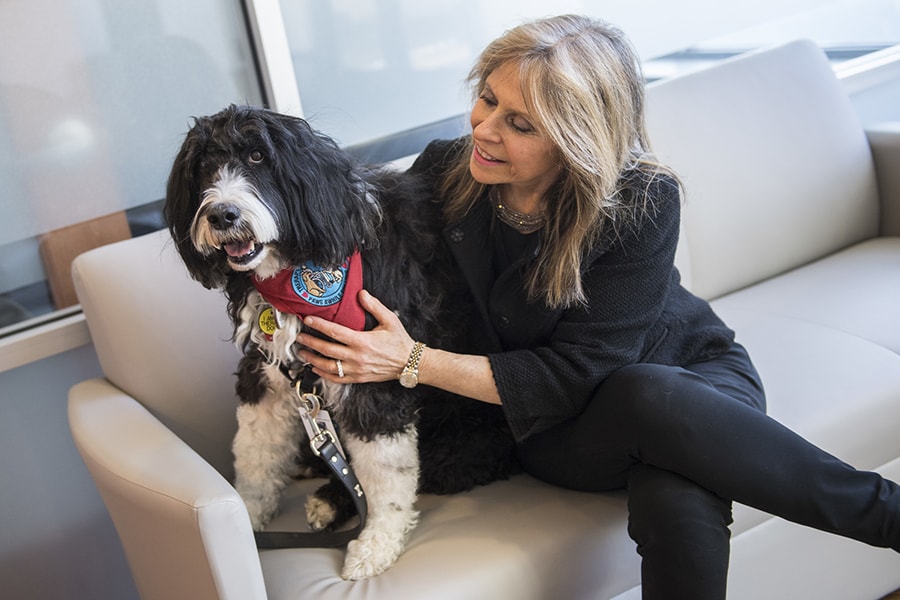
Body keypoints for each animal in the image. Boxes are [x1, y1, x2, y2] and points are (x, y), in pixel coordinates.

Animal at [164, 105, 516, 580]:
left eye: (258, 157)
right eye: (203, 166)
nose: (222, 215)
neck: (294, 266)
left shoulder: (372, 380)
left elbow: (386, 475)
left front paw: (376, 544)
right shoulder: (266, 375)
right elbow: (256, 455)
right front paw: (247, 519)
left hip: (466, 440)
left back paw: (331, 500)